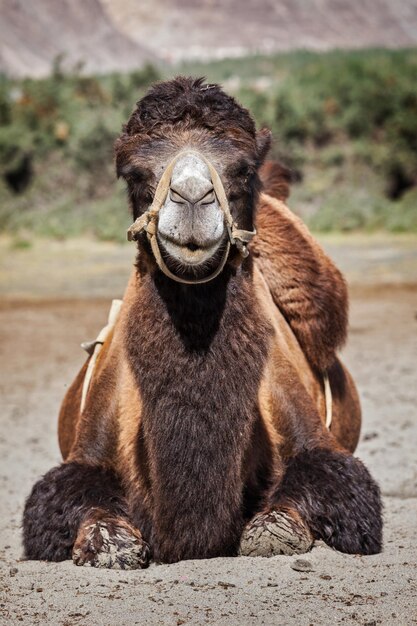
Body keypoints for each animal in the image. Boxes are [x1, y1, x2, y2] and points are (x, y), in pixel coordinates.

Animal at [22, 78, 380, 564]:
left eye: (244, 169)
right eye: (134, 172)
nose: (192, 197)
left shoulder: (320, 448)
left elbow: (299, 511)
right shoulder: (82, 457)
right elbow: (70, 508)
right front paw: (111, 542)